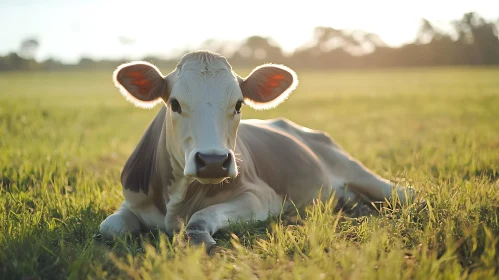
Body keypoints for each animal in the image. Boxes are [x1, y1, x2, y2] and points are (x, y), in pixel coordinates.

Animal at [99, 49, 416, 249]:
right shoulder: (132, 201)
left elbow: (201, 218)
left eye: (239, 104)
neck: (176, 203)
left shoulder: (262, 197)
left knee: (406, 193)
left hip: (359, 171)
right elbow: (109, 228)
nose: (212, 161)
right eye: (174, 104)